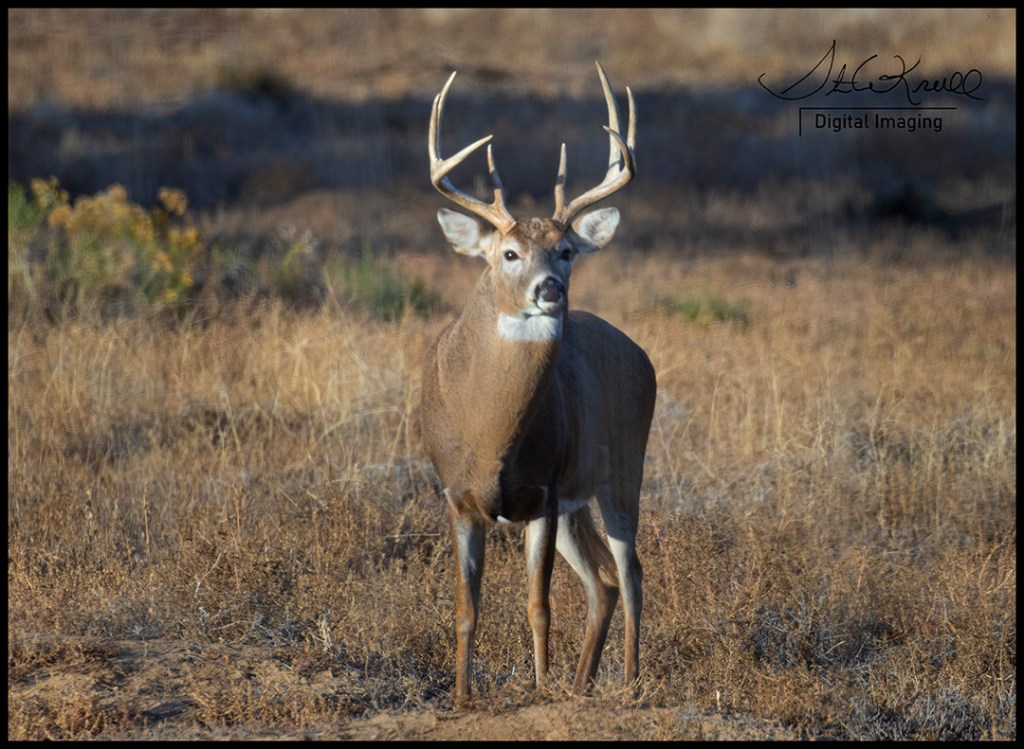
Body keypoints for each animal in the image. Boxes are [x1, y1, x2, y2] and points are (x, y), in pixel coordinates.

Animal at [420, 62, 657, 706]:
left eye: (567, 250)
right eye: (508, 253)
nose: (549, 288)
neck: (492, 434)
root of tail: (641, 355)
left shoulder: (543, 494)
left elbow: (538, 605)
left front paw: (540, 688)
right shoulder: (457, 496)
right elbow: (465, 610)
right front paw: (461, 699)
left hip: (623, 468)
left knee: (630, 572)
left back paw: (626, 685)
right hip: (581, 499)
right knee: (603, 581)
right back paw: (582, 686)